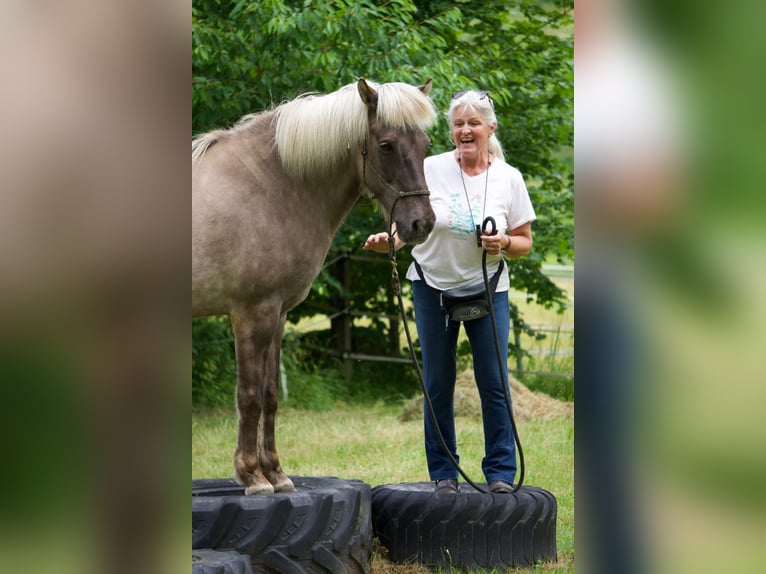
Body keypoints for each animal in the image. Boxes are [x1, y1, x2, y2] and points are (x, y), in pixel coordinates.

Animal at [192, 78, 437, 495]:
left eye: (425, 144)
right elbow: (249, 395)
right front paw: (252, 476)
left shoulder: (277, 315)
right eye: (386, 145)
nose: (422, 223)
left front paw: (276, 473)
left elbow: (271, 395)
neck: (271, 184)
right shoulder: (252, 314)